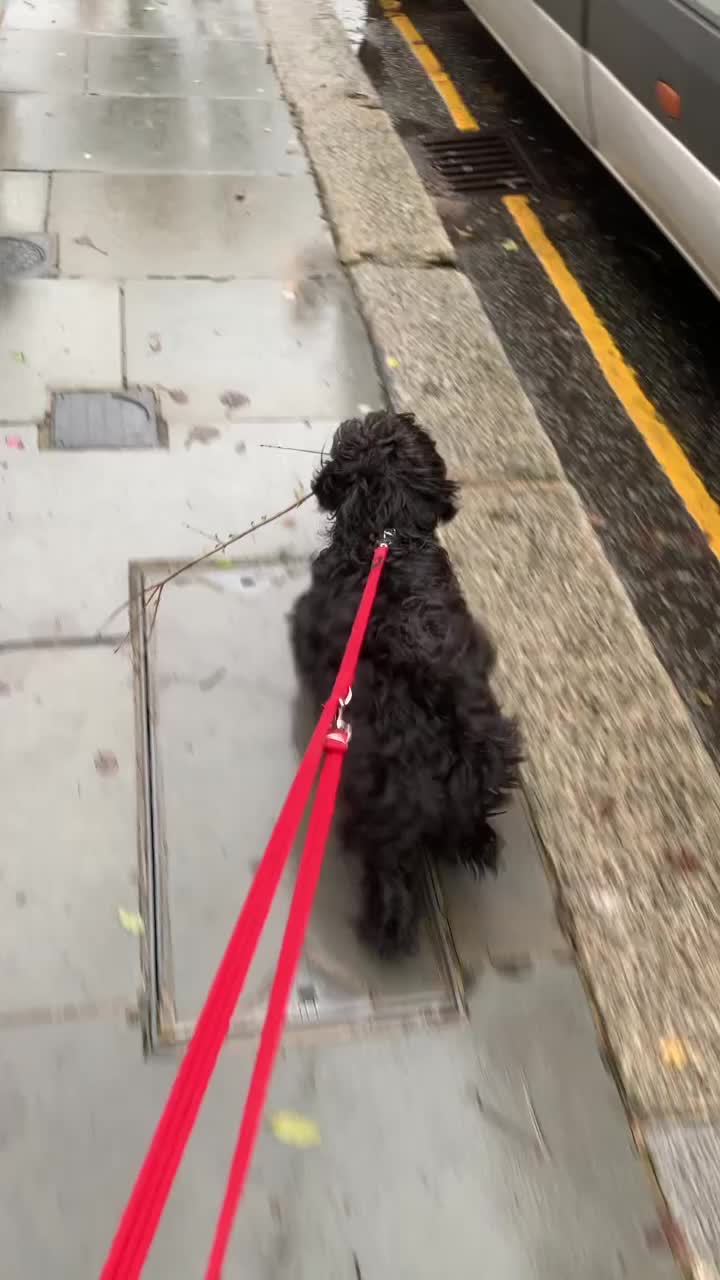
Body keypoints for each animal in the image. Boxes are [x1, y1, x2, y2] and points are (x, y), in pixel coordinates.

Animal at [290, 411, 520, 956]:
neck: (387, 535)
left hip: (380, 801)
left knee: (388, 873)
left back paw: (384, 925)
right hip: (496, 752)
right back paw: (475, 841)